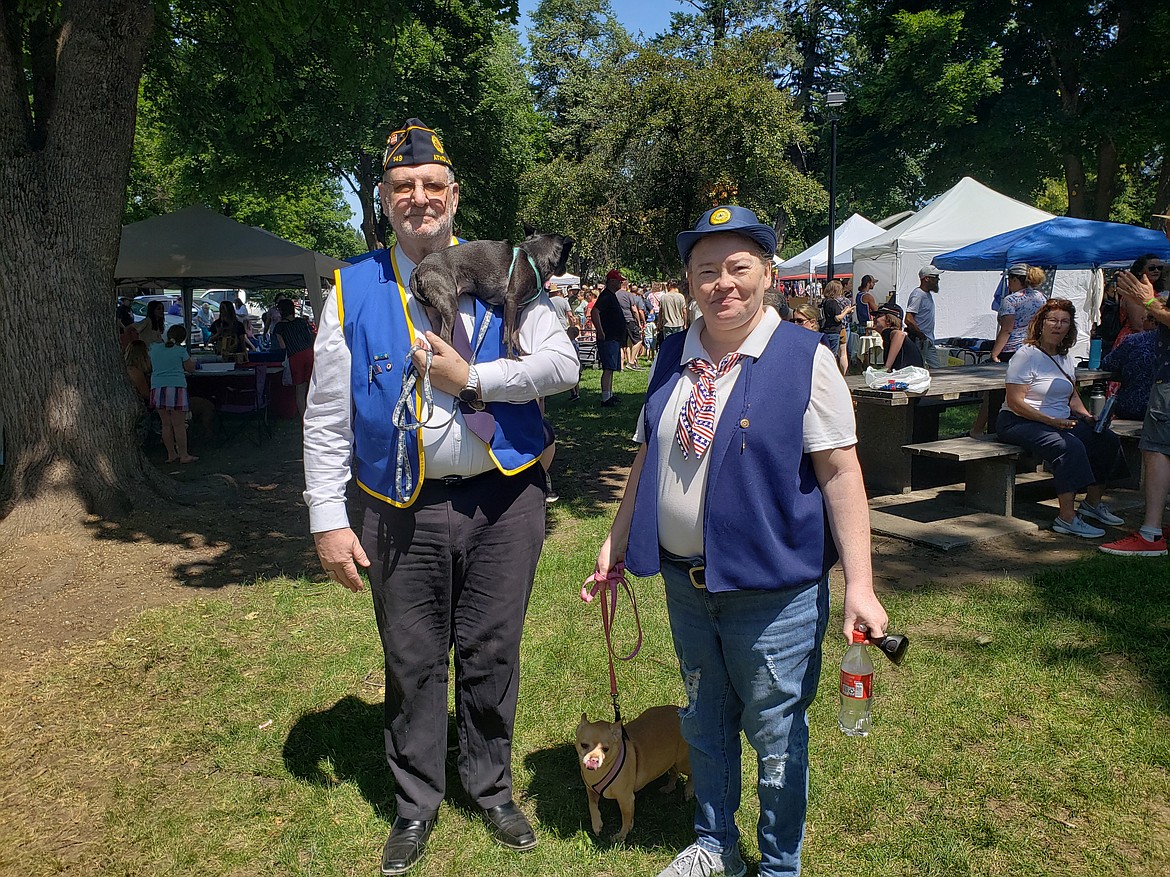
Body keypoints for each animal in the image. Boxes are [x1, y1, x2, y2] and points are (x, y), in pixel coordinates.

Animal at [411, 230, 575, 360]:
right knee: (445, 336)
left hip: (436, 311)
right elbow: (508, 334)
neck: (532, 258)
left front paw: (522, 353)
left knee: (437, 336)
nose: (565, 269)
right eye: (567, 255)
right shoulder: (511, 301)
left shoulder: (517, 310)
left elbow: (515, 334)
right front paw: (511, 356)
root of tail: (419, 267)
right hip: (449, 303)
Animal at [573, 706, 687, 846]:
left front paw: (622, 835)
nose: (593, 759)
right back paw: (669, 787)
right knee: (674, 772)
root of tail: (680, 710)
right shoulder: (591, 791)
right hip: (671, 760)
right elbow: (592, 805)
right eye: (584, 745)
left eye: (606, 749)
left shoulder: (625, 799)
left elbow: (626, 819)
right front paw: (597, 824)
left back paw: (689, 791)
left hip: (683, 762)